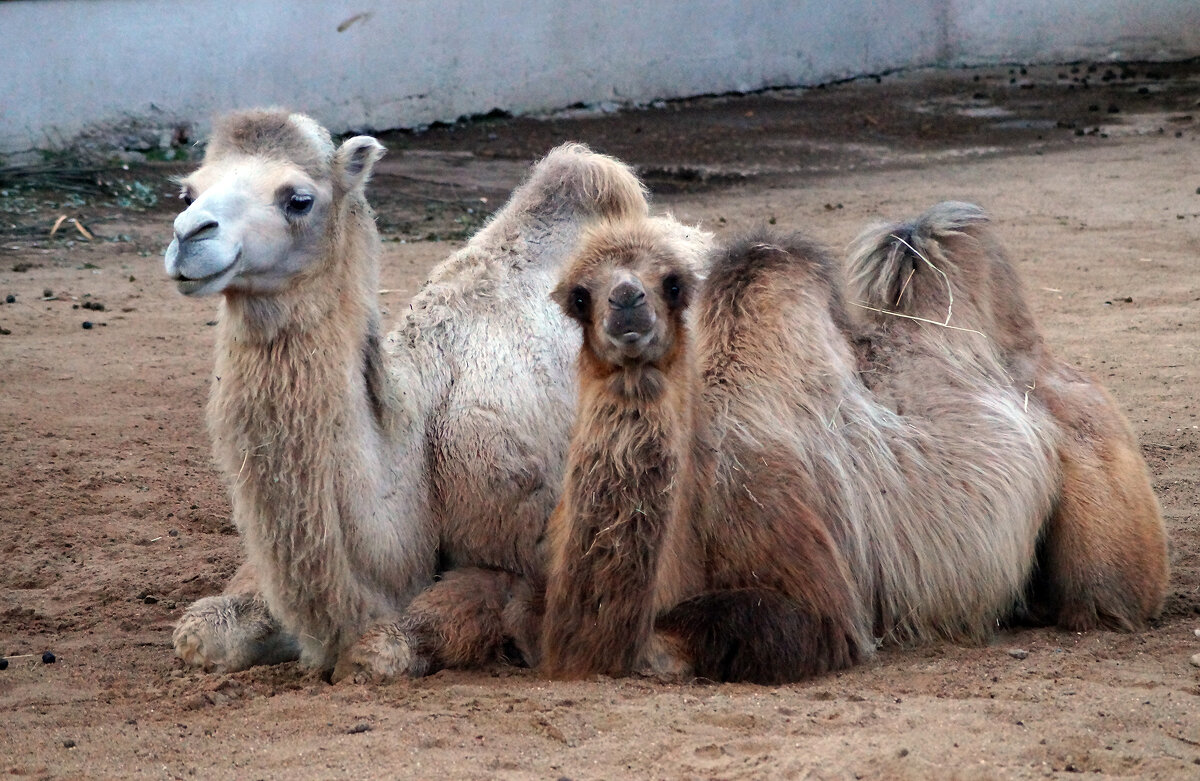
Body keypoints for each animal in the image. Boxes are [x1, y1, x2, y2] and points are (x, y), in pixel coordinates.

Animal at [166, 109, 710, 676]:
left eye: (298, 199)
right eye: (187, 194)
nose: (188, 237)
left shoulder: (512, 556)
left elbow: (380, 649)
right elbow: (201, 632)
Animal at [540, 205, 1166, 681]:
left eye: (671, 283)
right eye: (580, 296)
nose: (627, 303)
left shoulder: (789, 544)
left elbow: (768, 629)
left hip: (1099, 457)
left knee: (1103, 597)